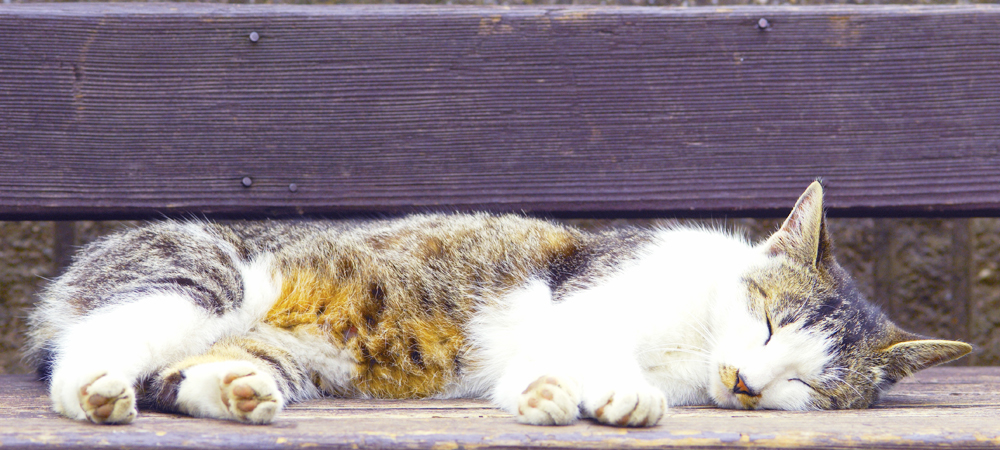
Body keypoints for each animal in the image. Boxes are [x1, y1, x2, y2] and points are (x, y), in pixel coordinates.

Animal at [25, 181, 968, 428]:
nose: (745, 383)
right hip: (202, 270)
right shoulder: (589, 297)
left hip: (285, 353)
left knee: (185, 373)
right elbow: (592, 344)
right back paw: (94, 389)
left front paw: (555, 397)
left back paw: (235, 390)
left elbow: (535, 373)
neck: (697, 346)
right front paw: (617, 392)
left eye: (812, 386)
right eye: (768, 321)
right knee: (97, 346)